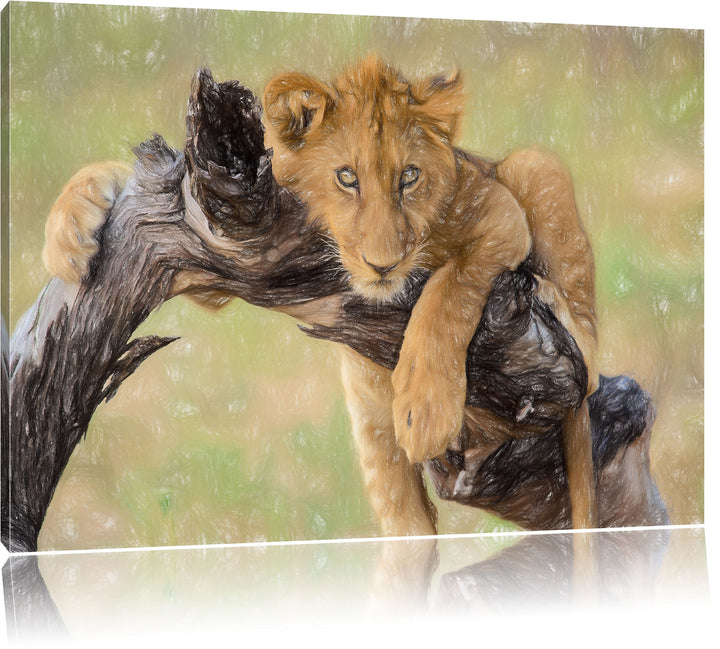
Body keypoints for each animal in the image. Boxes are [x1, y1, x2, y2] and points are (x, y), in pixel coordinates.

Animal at [42, 56, 598, 538]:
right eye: (347, 178)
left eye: (409, 177)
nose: (382, 264)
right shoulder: (219, 247)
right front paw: (68, 232)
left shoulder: (500, 214)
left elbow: (449, 289)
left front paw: (425, 408)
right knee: (407, 525)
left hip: (536, 166)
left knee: (587, 360)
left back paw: (555, 307)